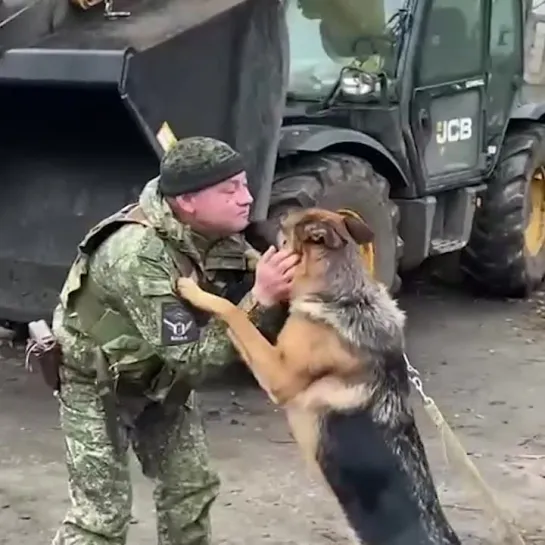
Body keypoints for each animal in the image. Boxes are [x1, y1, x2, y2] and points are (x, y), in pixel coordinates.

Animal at [176, 207, 462, 544]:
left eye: (283, 223)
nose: (248, 225)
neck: (345, 295)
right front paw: (253, 260)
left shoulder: (279, 374)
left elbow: (234, 312)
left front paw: (195, 289)